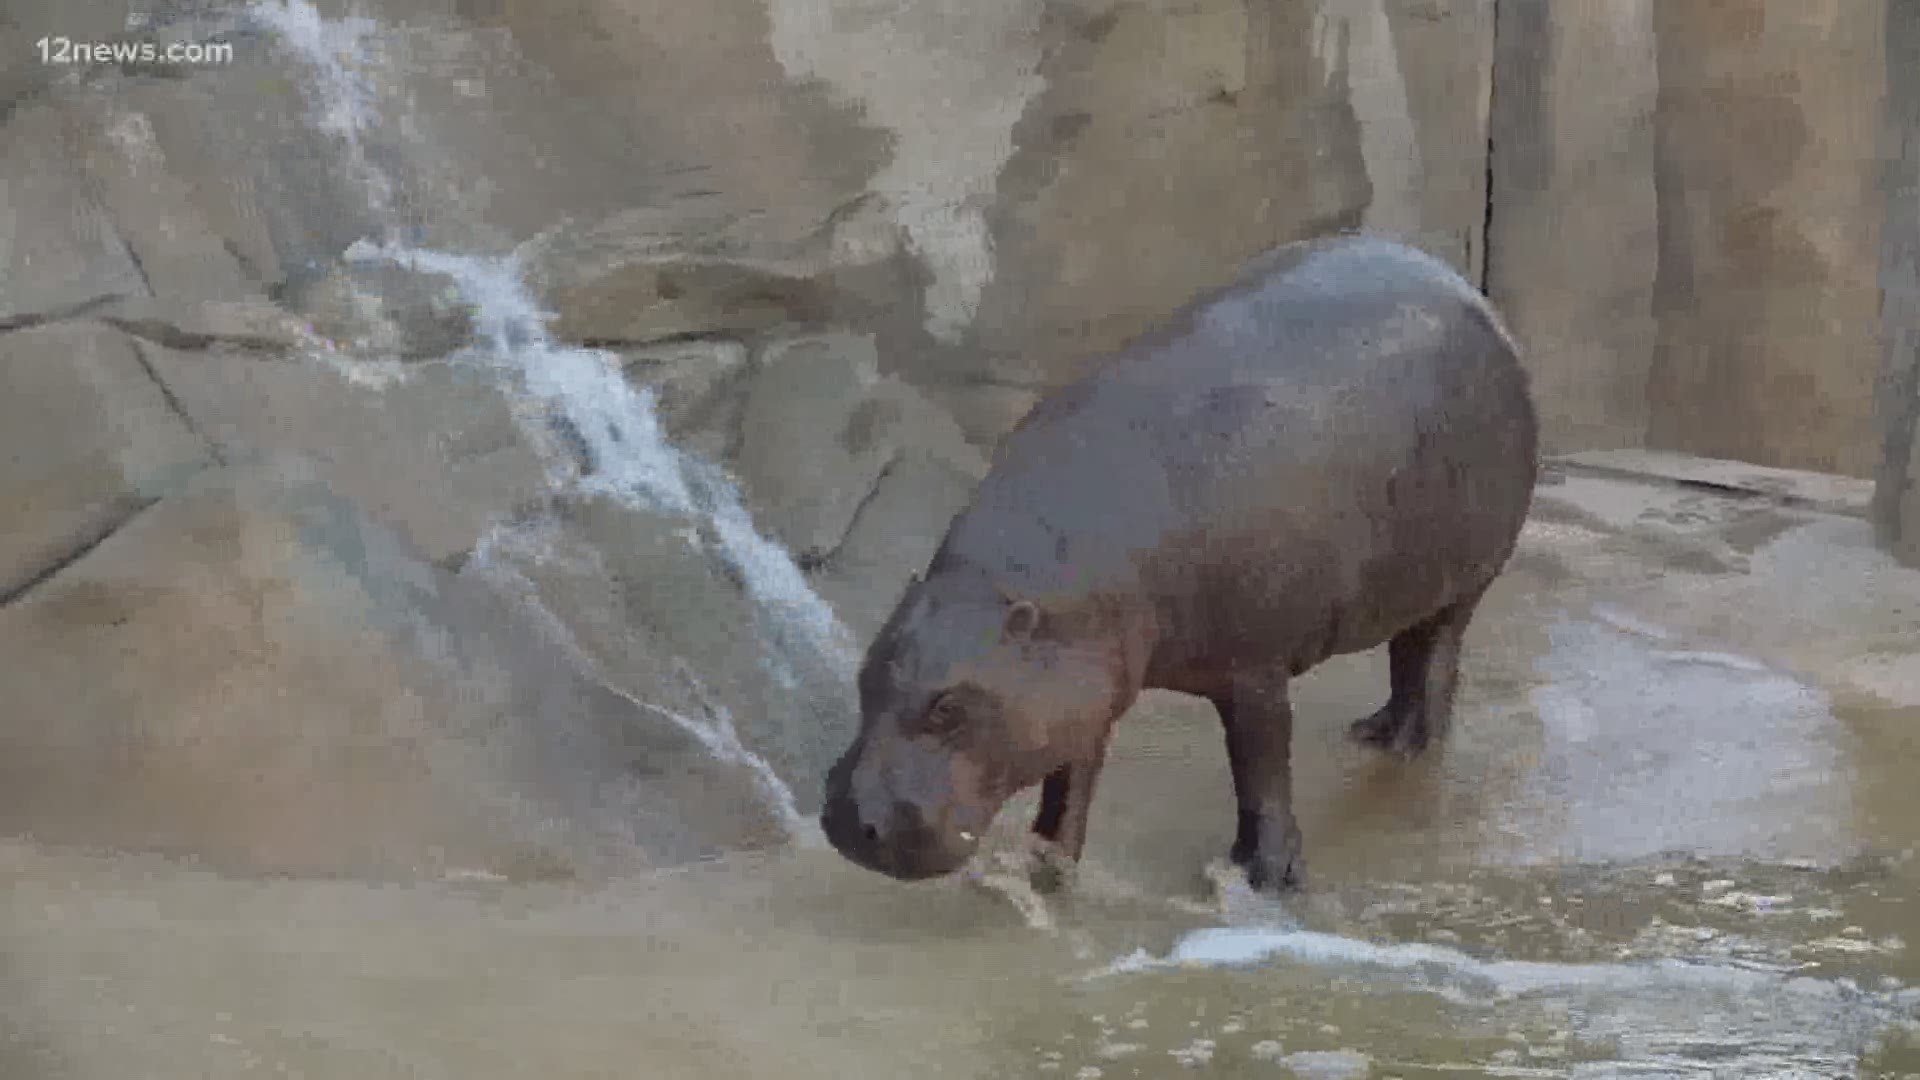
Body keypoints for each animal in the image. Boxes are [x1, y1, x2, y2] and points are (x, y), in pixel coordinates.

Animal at [817, 235, 1536, 891]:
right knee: (1404, 650)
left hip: (1469, 574)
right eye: (865, 676)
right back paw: (1373, 731)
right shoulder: (1081, 676)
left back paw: (1407, 746)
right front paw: (1045, 869)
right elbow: (1071, 777)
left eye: (949, 709)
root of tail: (1471, 291)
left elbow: (1261, 768)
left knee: (1433, 656)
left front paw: (1265, 878)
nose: (851, 821)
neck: (1014, 587)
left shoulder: (1255, 668)